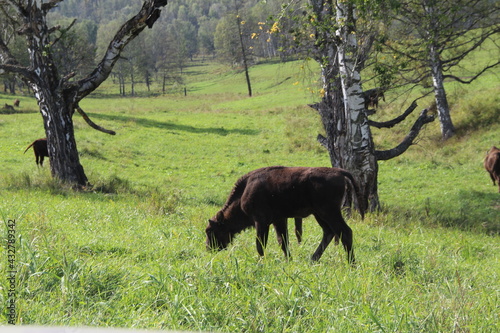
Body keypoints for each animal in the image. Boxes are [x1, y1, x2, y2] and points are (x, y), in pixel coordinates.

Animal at [205, 165, 366, 262]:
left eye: (210, 230)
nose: (209, 248)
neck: (245, 191)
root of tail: (340, 172)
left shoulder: (261, 221)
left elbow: (260, 244)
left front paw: (261, 261)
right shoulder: (279, 220)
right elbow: (283, 241)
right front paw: (289, 260)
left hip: (329, 212)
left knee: (344, 231)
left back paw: (351, 263)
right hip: (319, 214)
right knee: (329, 232)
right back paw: (313, 260)